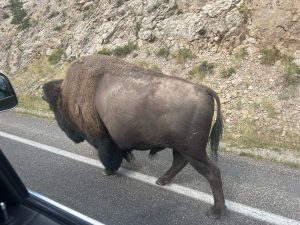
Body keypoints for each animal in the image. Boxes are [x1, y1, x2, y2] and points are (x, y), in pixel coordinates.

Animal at [42, 54, 225, 218]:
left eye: (53, 106)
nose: (64, 129)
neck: (70, 93)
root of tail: (205, 90)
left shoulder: (103, 139)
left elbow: (109, 155)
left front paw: (107, 171)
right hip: (182, 148)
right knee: (179, 162)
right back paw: (161, 181)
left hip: (193, 151)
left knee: (212, 172)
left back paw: (215, 212)